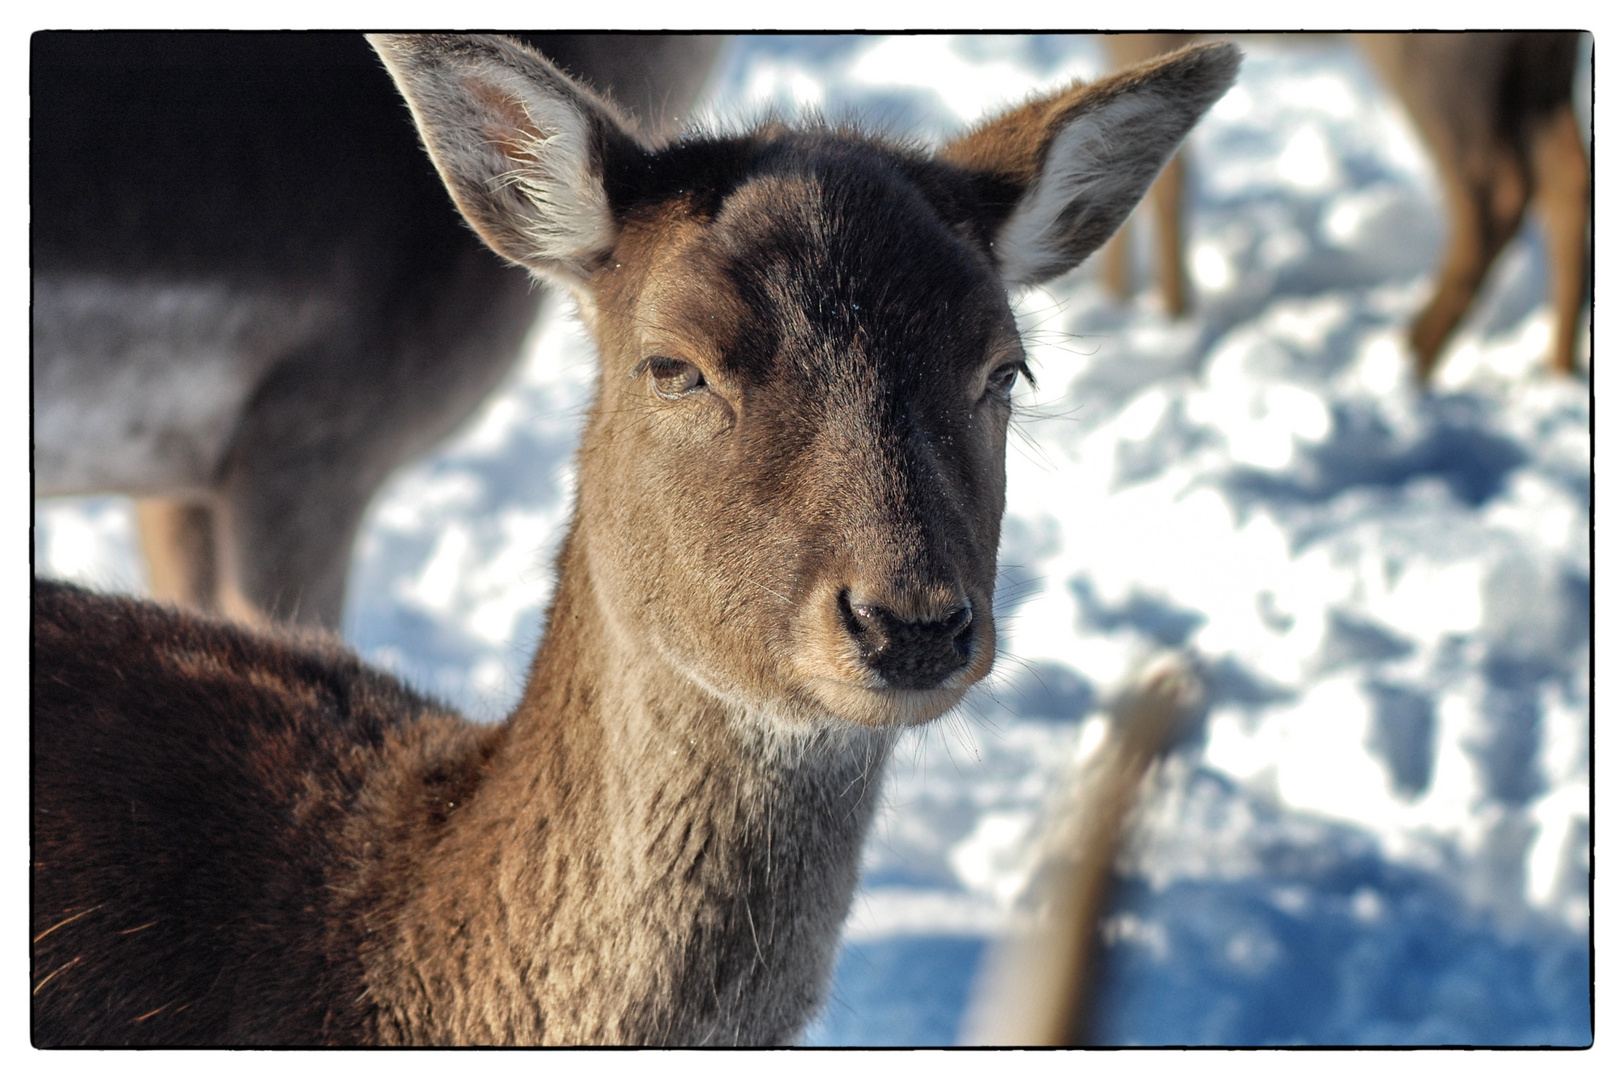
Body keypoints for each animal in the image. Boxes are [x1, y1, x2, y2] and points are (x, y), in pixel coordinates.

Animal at [1097, 30, 1591, 378]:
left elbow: (1164, 177)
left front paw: (1172, 319)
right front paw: (1117, 300)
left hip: (1440, 58)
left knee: (1494, 190)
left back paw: (1406, 361)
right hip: (1542, 60)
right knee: (1567, 173)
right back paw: (1558, 371)